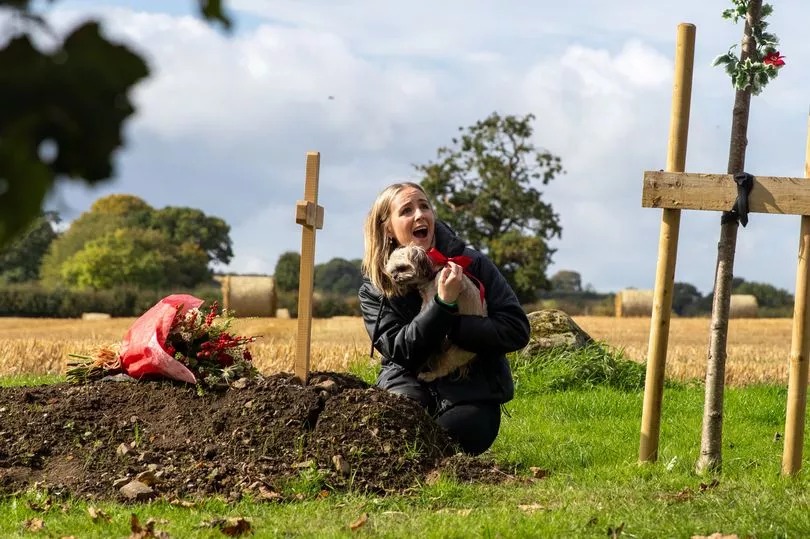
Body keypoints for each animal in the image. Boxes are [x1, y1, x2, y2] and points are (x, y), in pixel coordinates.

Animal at [386, 245, 486, 380]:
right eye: (392, 271)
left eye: (401, 268)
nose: (394, 277)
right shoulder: (426, 301)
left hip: (453, 354)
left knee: (444, 369)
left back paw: (427, 375)